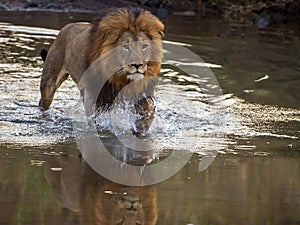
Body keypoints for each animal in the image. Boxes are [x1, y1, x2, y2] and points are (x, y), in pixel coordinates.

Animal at [38, 6, 164, 134]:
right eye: (125, 47)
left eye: (144, 46)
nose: (137, 65)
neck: (120, 77)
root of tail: (66, 27)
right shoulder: (94, 94)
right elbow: (94, 119)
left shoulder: (139, 91)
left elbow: (149, 106)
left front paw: (143, 126)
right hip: (49, 83)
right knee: (43, 101)